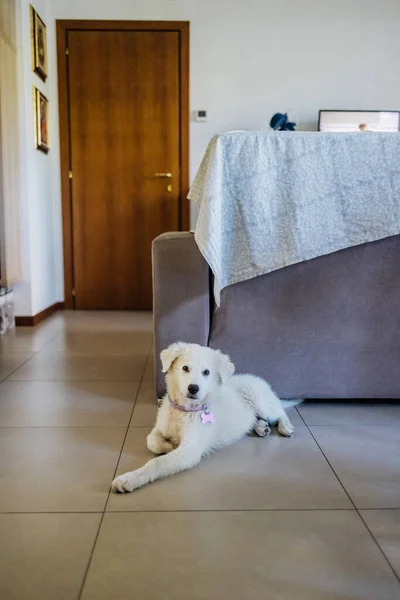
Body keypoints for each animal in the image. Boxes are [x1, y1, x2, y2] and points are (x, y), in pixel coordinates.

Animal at [111, 342, 296, 492]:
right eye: (185, 368)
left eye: (206, 372)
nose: (193, 388)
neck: (184, 410)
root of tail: (258, 381)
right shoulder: (160, 427)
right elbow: (151, 441)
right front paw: (168, 446)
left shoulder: (191, 450)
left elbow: (157, 462)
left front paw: (129, 479)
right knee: (259, 418)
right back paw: (262, 428)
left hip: (258, 398)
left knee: (280, 412)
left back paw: (285, 427)